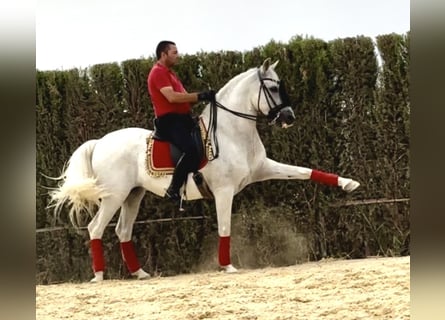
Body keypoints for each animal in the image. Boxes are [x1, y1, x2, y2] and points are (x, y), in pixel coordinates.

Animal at [50, 58, 360, 282]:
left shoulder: (264, 168)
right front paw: (227, 266)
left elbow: (305, 171)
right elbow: (225, 226)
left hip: (133, 195)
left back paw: (140, 273)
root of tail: (100, 142)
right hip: (115, 195)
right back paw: (99, 276)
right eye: (272, 89)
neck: (232, 131)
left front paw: (348, 183)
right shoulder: (224, 191)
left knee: (123, 231)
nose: (288, 117)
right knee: (96, 227)